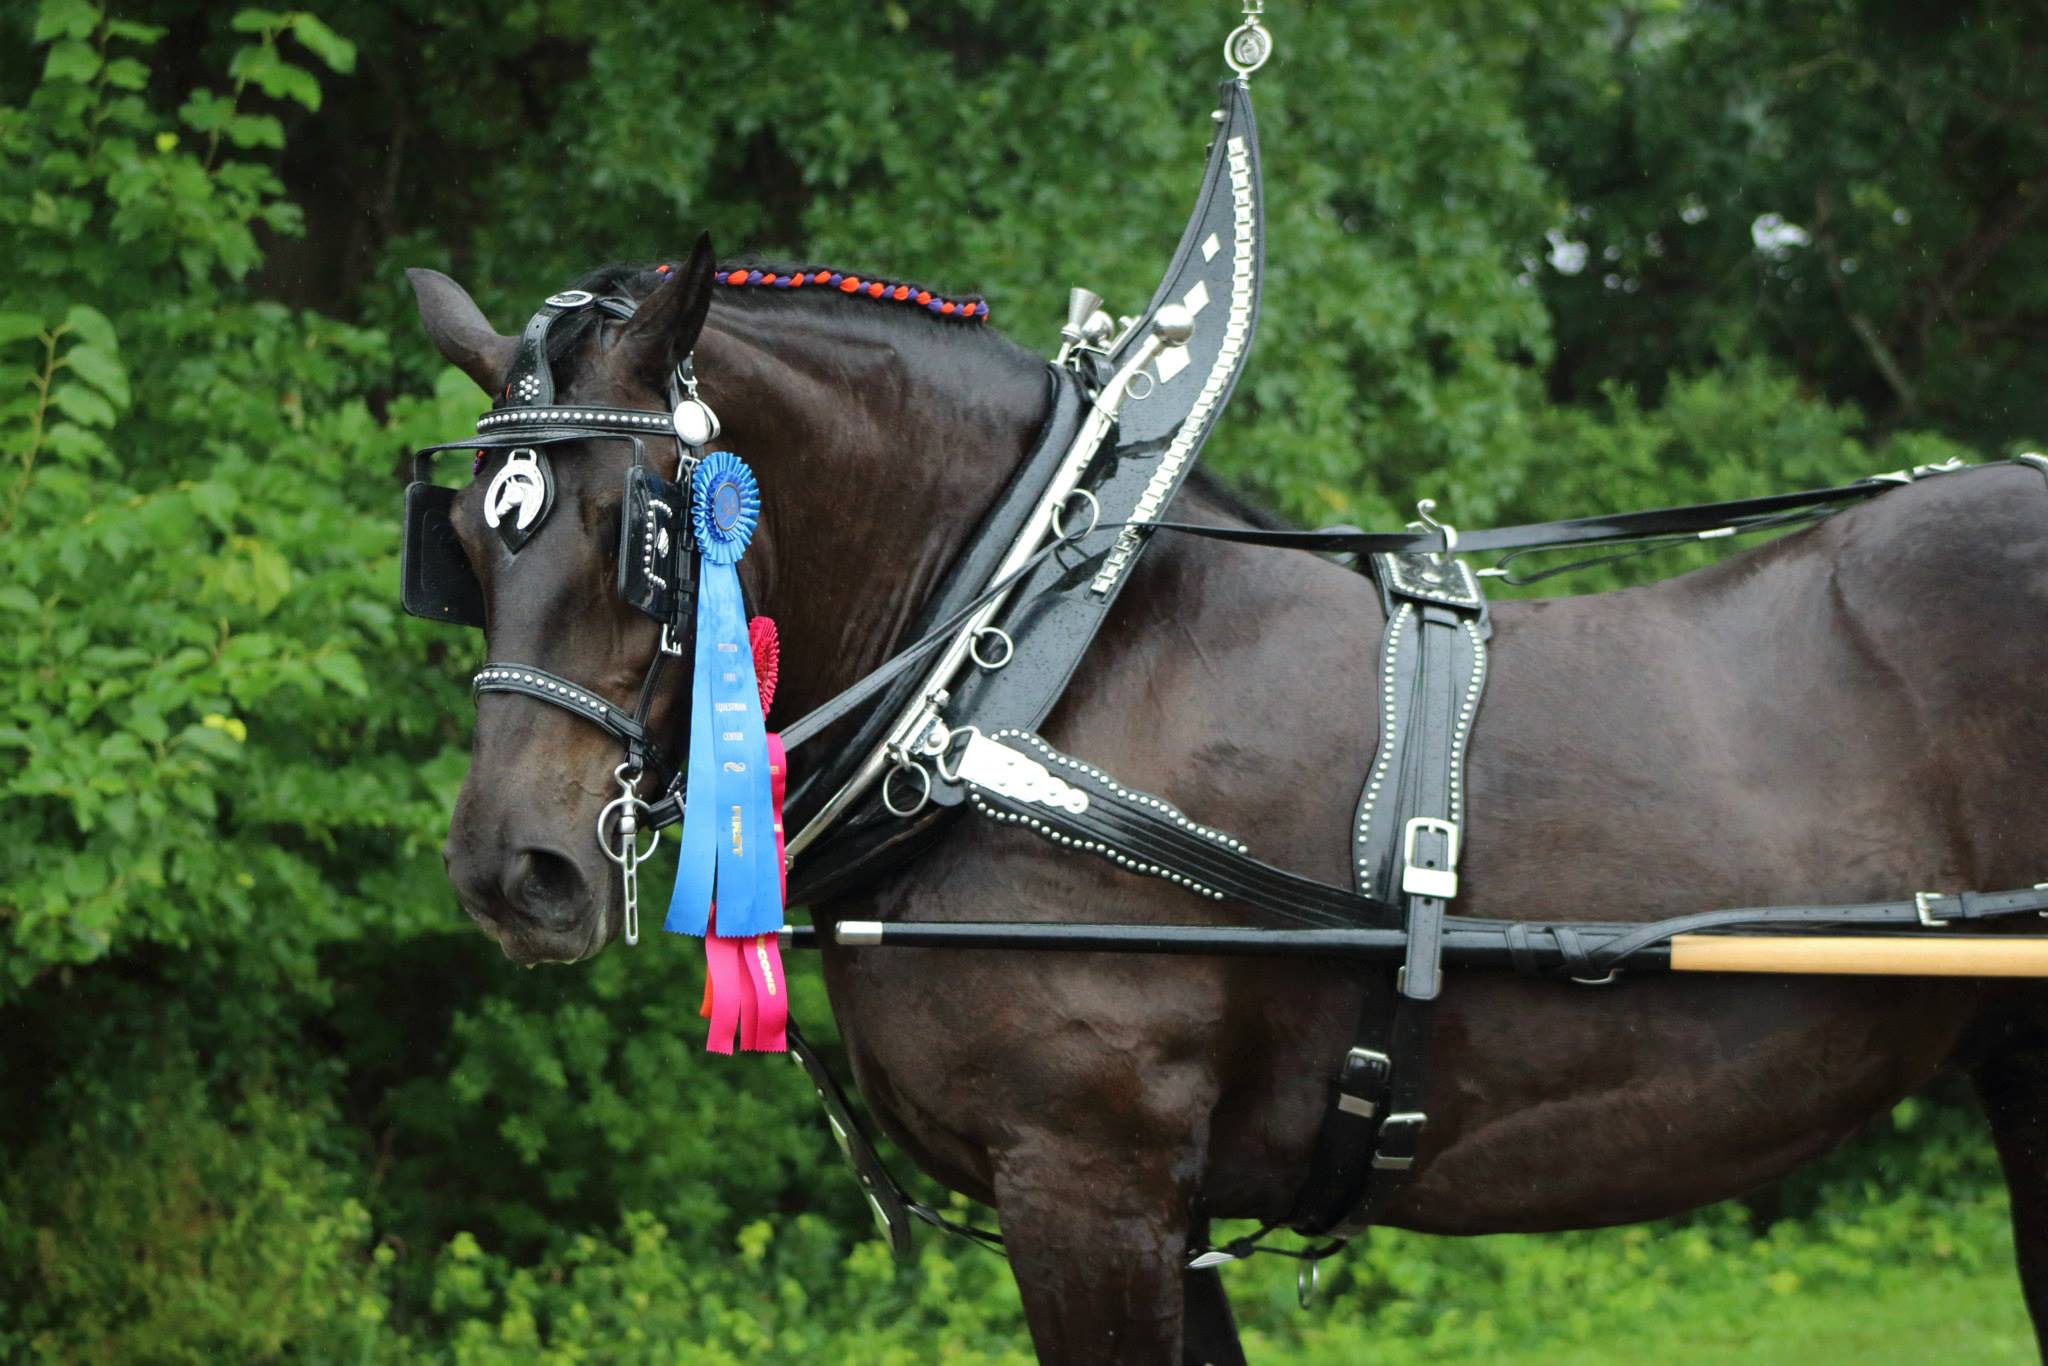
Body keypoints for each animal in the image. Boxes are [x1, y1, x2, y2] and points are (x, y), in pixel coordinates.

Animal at [407, 248, 2048, 1366]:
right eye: (471, 544)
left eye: (636, 531)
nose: (512, 868)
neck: (1018, 676)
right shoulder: (1161, 1204)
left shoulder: (1091, 1180)